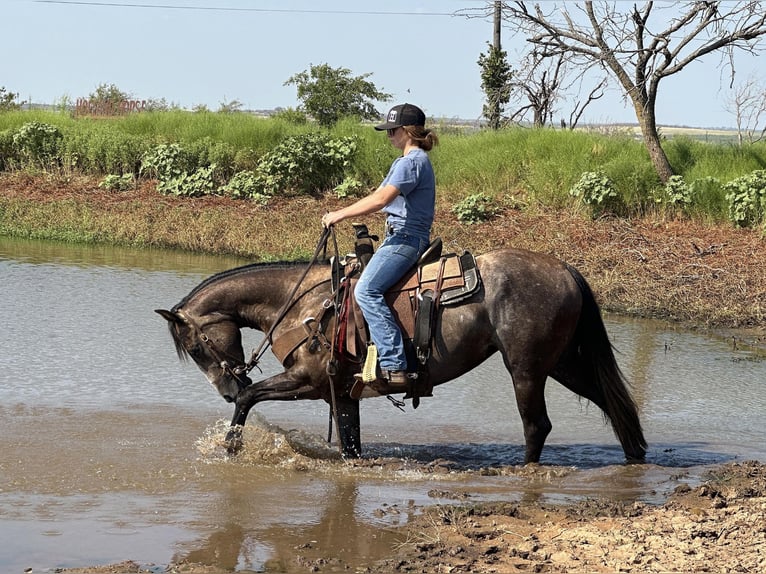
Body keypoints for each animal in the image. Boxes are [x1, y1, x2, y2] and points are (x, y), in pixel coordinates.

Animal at [156, 245, 648, 466]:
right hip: (560, 363)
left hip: (526, 369)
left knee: (537, 425)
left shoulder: (307, 382)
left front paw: (230, 448)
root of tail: (564, 269)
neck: (302, 305)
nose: (224, 387)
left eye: (196, 346)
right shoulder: (341, 393)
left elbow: (250, 398)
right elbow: (351, 445)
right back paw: (635, 456)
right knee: (611, 402)